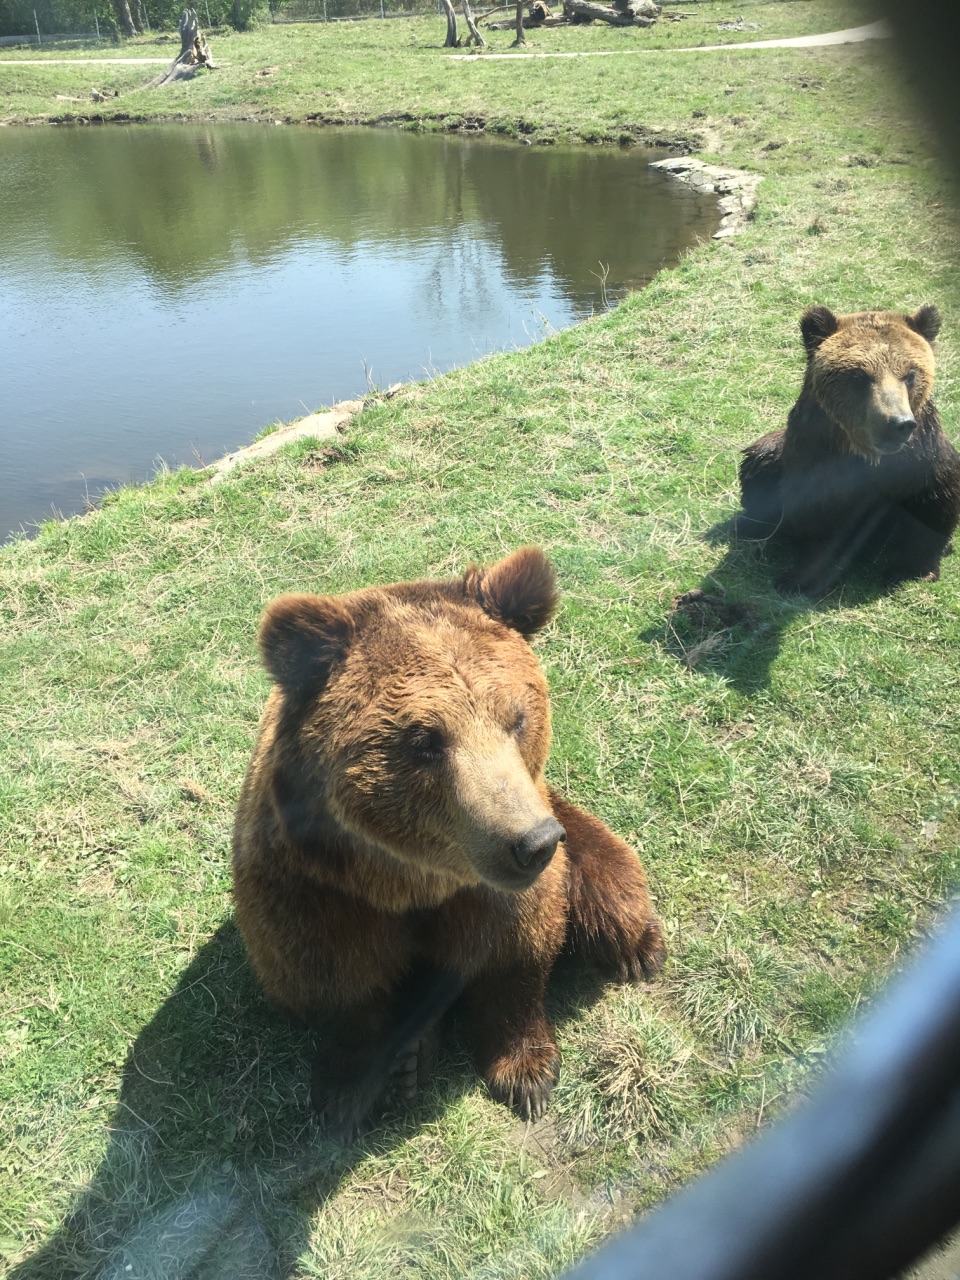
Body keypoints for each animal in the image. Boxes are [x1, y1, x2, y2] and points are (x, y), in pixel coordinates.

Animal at [232, 550, 670, 1141]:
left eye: (518, 717)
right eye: (425, 741)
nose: (533, 842)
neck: (412, 881)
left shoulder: (500, 888)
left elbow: (515, 955)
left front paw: (527, 1072)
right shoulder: (315, 890)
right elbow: (339, 982)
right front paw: (345, 1090)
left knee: (613, 884)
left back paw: (637, 947)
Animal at [742, 304, 957, 593]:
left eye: (910, 374)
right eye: (860, 375)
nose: (898, 423)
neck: (865, 454)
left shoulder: (922, 459)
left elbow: (933, 506)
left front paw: (915, 569)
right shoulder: (816, 459)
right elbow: (818, 519)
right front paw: (798, 579)